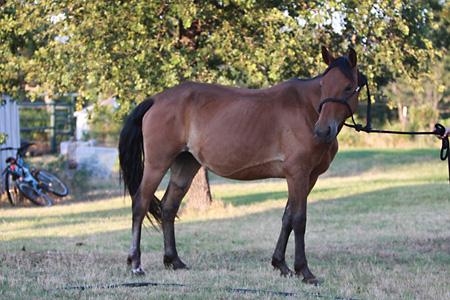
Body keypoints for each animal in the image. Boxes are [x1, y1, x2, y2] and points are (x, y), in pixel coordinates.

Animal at [118, 46, 362, 284]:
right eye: (322, 85)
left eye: (348, 87)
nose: (322, 131)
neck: (306, 109)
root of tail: (157, 98)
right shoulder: (298, 174)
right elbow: (299, 220)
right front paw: (305, 271)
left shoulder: (309, 177)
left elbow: (288, 218)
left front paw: (281, 265)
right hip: (157, 164)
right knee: (140, 205)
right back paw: (136, 264)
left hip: (185, 165)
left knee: (169, 207)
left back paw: (174, 260)